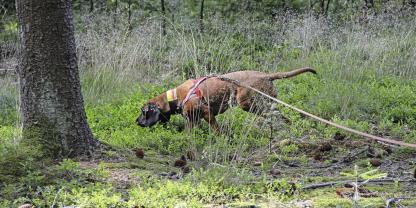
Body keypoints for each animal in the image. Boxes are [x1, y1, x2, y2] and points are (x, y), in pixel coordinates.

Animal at [136, 67, 316, 132]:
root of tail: (265, 75)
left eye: (144, 112)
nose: (136, 121)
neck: (175, 96)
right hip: (266, 105)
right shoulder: (192, 119)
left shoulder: (207, 113)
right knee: (282, 117)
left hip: (249, 103)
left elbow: (216, 130)